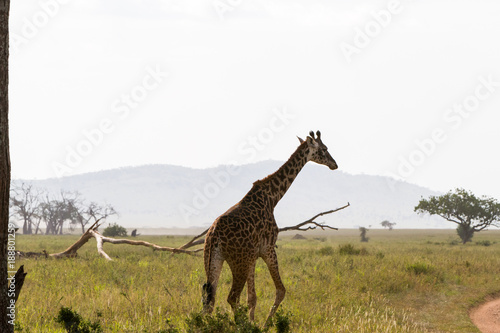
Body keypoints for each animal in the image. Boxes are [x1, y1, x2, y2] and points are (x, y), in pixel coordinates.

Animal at [201, 130, 338, 324]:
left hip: (213, 259)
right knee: (232, 297)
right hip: (238, 261)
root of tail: (214, 234)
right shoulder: (268, 249)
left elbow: (252, 298)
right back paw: (240, 325)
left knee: (210, 300)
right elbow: (281, 290)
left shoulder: (253, 256)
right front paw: (264, 324)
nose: (335, 164)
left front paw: (253, 322)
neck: (273, 197)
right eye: (325, 149)